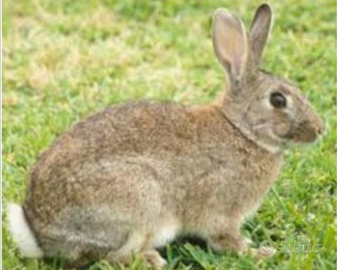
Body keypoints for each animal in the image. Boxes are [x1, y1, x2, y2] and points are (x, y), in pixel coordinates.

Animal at [8, 3, 324, 268]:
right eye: (278, 100)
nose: (320, 129)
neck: (241, 130)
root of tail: (40, 235)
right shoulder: (221, 209)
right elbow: (223, 239)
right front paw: (256, 252)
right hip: (141, 197)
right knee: (112, 257)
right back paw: (152, 259)